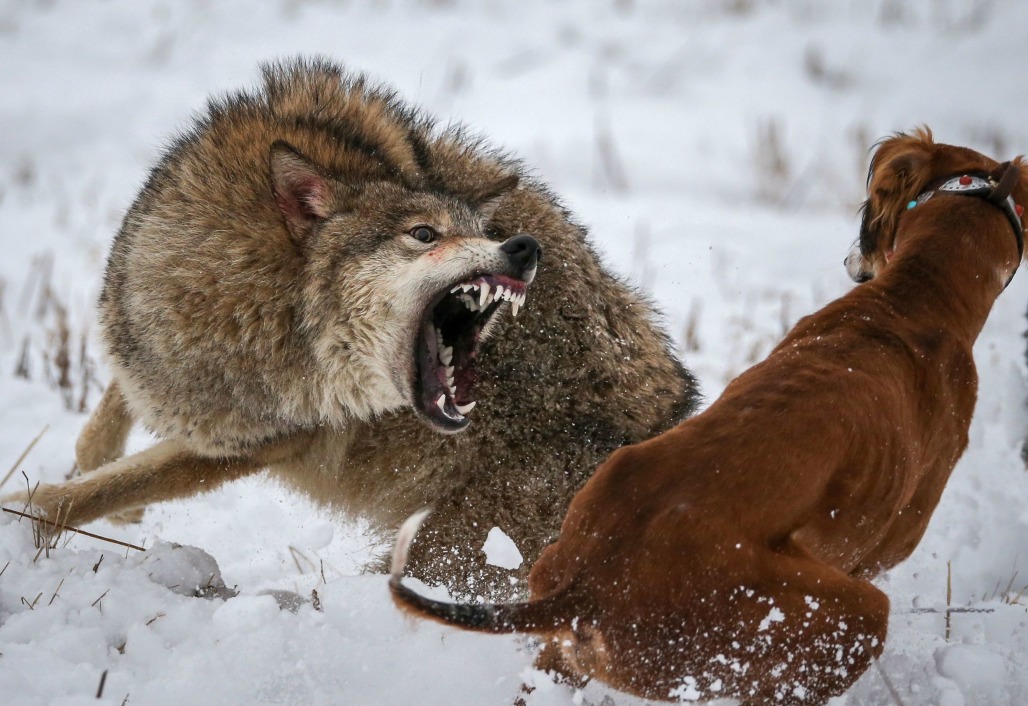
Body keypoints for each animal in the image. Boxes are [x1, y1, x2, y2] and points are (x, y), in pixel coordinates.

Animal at [6, 58, 699, 596]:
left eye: (481, 231)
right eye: (424, 234)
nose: (524, 248)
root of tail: (673, 422)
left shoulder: (253, 443)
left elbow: (93, 489)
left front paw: (22, 518)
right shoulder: (153, 352)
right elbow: (103, 433)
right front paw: (107, 492)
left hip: (453, 549)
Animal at [386, 129, 1028, 702]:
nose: (852, 260)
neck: (912, 300)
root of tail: (591, 583)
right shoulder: (883, 550)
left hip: (567, 645)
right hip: (843, 616)